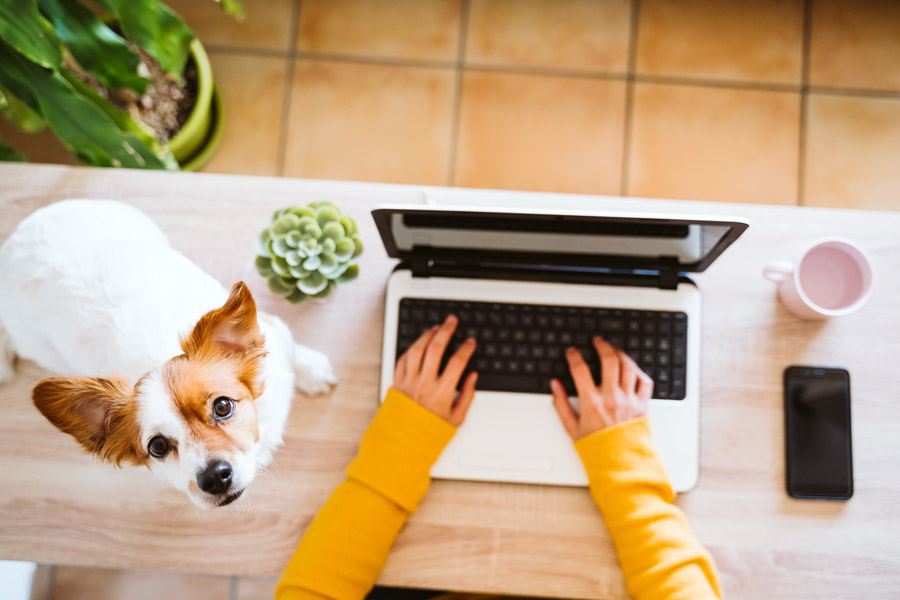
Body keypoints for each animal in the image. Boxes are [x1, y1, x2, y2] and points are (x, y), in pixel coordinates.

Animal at [0, 200, 336, 506]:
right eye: (158, 447)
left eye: (223, 406)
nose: (214, 477)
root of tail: (15, 240)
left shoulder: (274, 333)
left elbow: (292, 348)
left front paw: (313, 371)